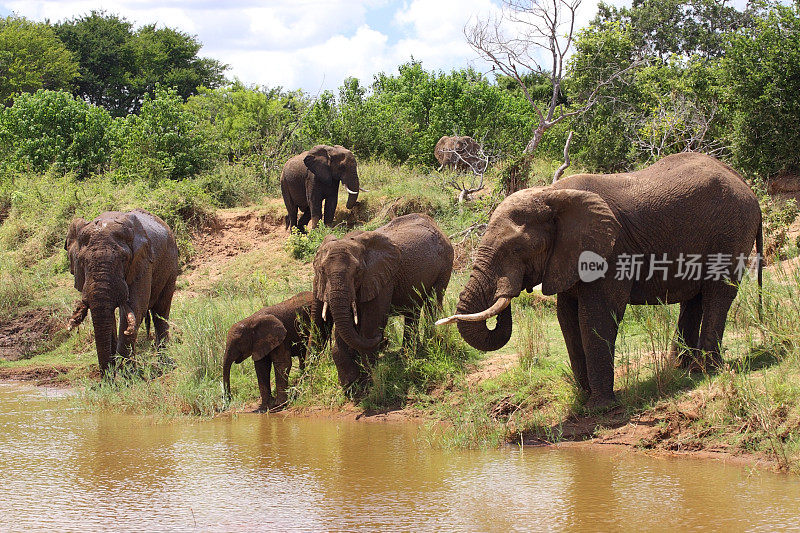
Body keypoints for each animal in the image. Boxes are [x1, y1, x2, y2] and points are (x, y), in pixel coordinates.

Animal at [64, 207, 180, 374]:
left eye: (124, 259)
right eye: (81, 261)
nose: (107, 376)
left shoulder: (143, 264)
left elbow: (135, 308)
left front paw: (127, 375)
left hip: (171, 264)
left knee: (161, 310)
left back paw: (164, 367)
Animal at [310, 212, 454, 390]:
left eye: (358, 271)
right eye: (322, 270)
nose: (384, 339)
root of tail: (436, 225)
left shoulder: (382, 278)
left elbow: (372, 321)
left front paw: (367, 384)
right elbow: (345, 326)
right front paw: (349, 385)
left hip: (445, 264)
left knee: (431, 304)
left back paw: (428, 345)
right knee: (412, 311)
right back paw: (407, 354)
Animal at [438, 152, 764, 410]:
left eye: (516, 250)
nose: (507, 291)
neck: (553, 194)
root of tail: (747, 187)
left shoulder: (611, 250)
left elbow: (595, 315)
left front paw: (599, 407)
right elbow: (567, 317)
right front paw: (583, 398)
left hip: (731, 230)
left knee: (717, 293)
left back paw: (706, 370)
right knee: (694, 298)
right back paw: (681, 369)